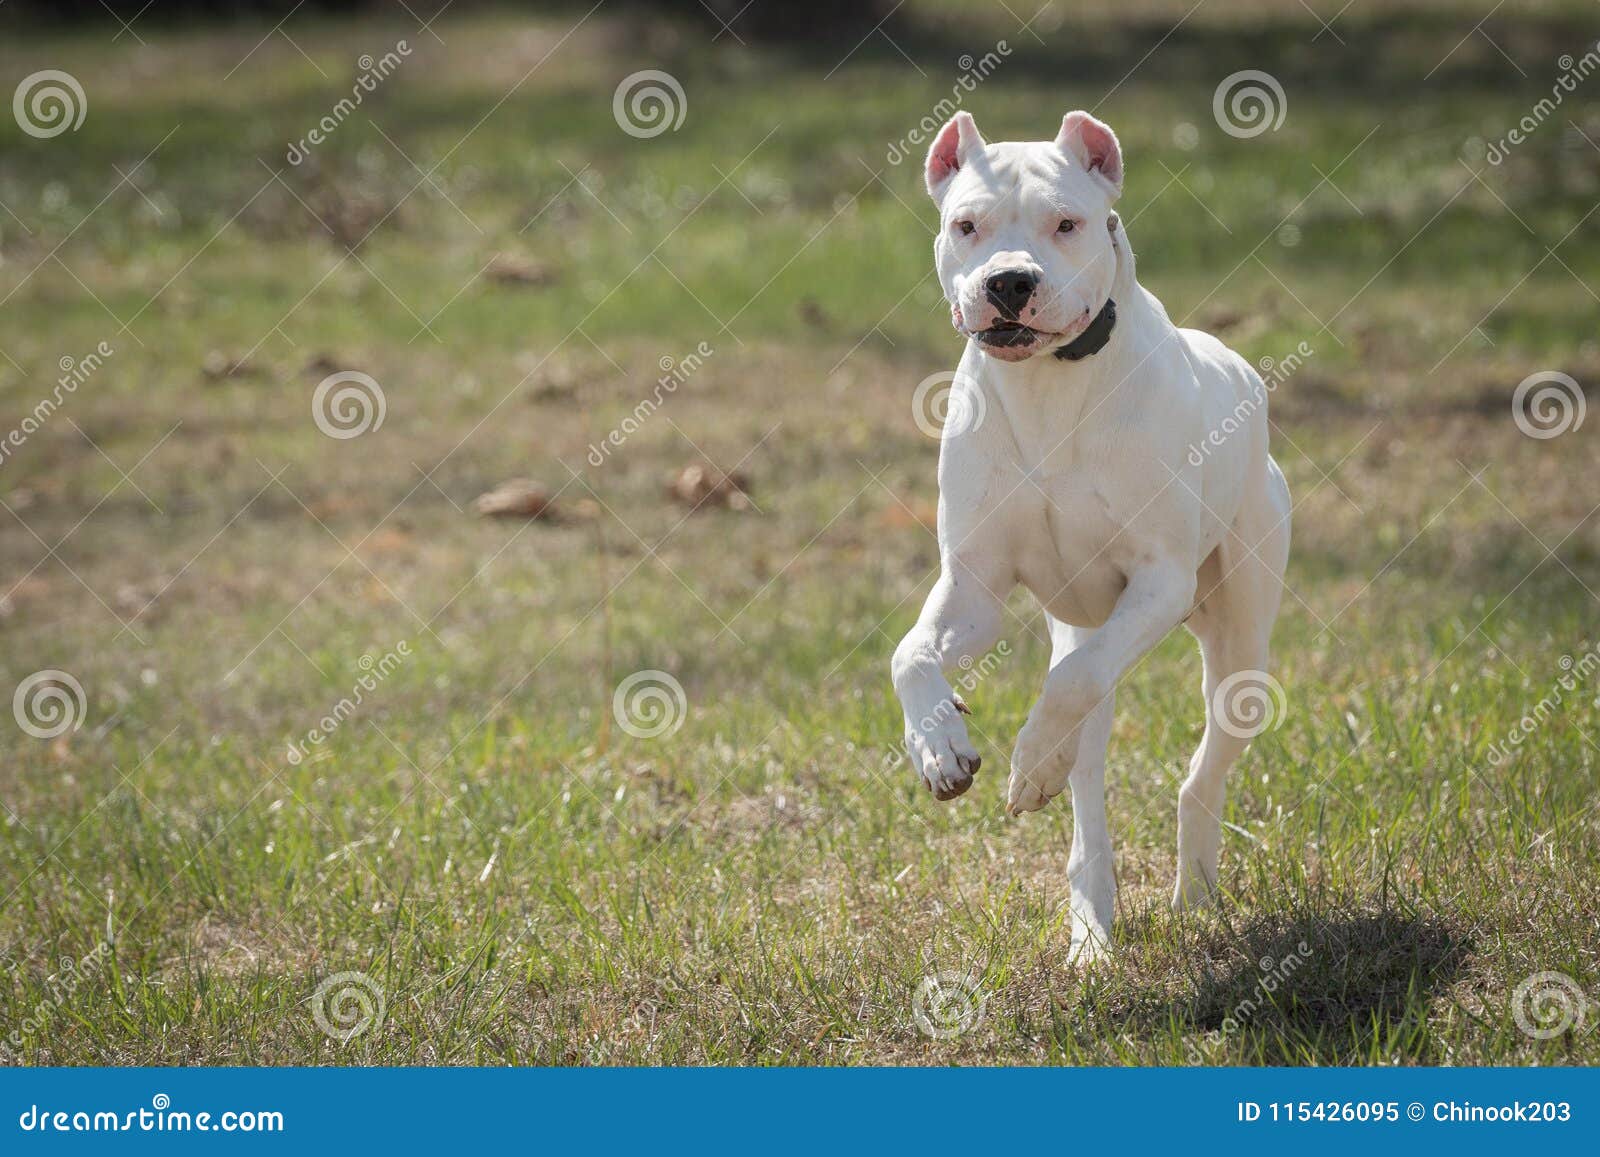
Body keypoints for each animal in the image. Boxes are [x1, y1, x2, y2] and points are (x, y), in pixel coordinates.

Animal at [896, 111, 1292, 960]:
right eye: (966, 225)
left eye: (1067, 224)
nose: (1009, 282)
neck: (1049, 381)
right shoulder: (974, 586)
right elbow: (911, 654)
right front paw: (940, 747)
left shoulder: (1160, 580)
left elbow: (1073, 684)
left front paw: (1026, 760)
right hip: (1088, 627)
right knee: (1087, 764)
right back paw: (1090, 919)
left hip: (1240, 654)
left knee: (1192, 767)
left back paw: (1194, 892)